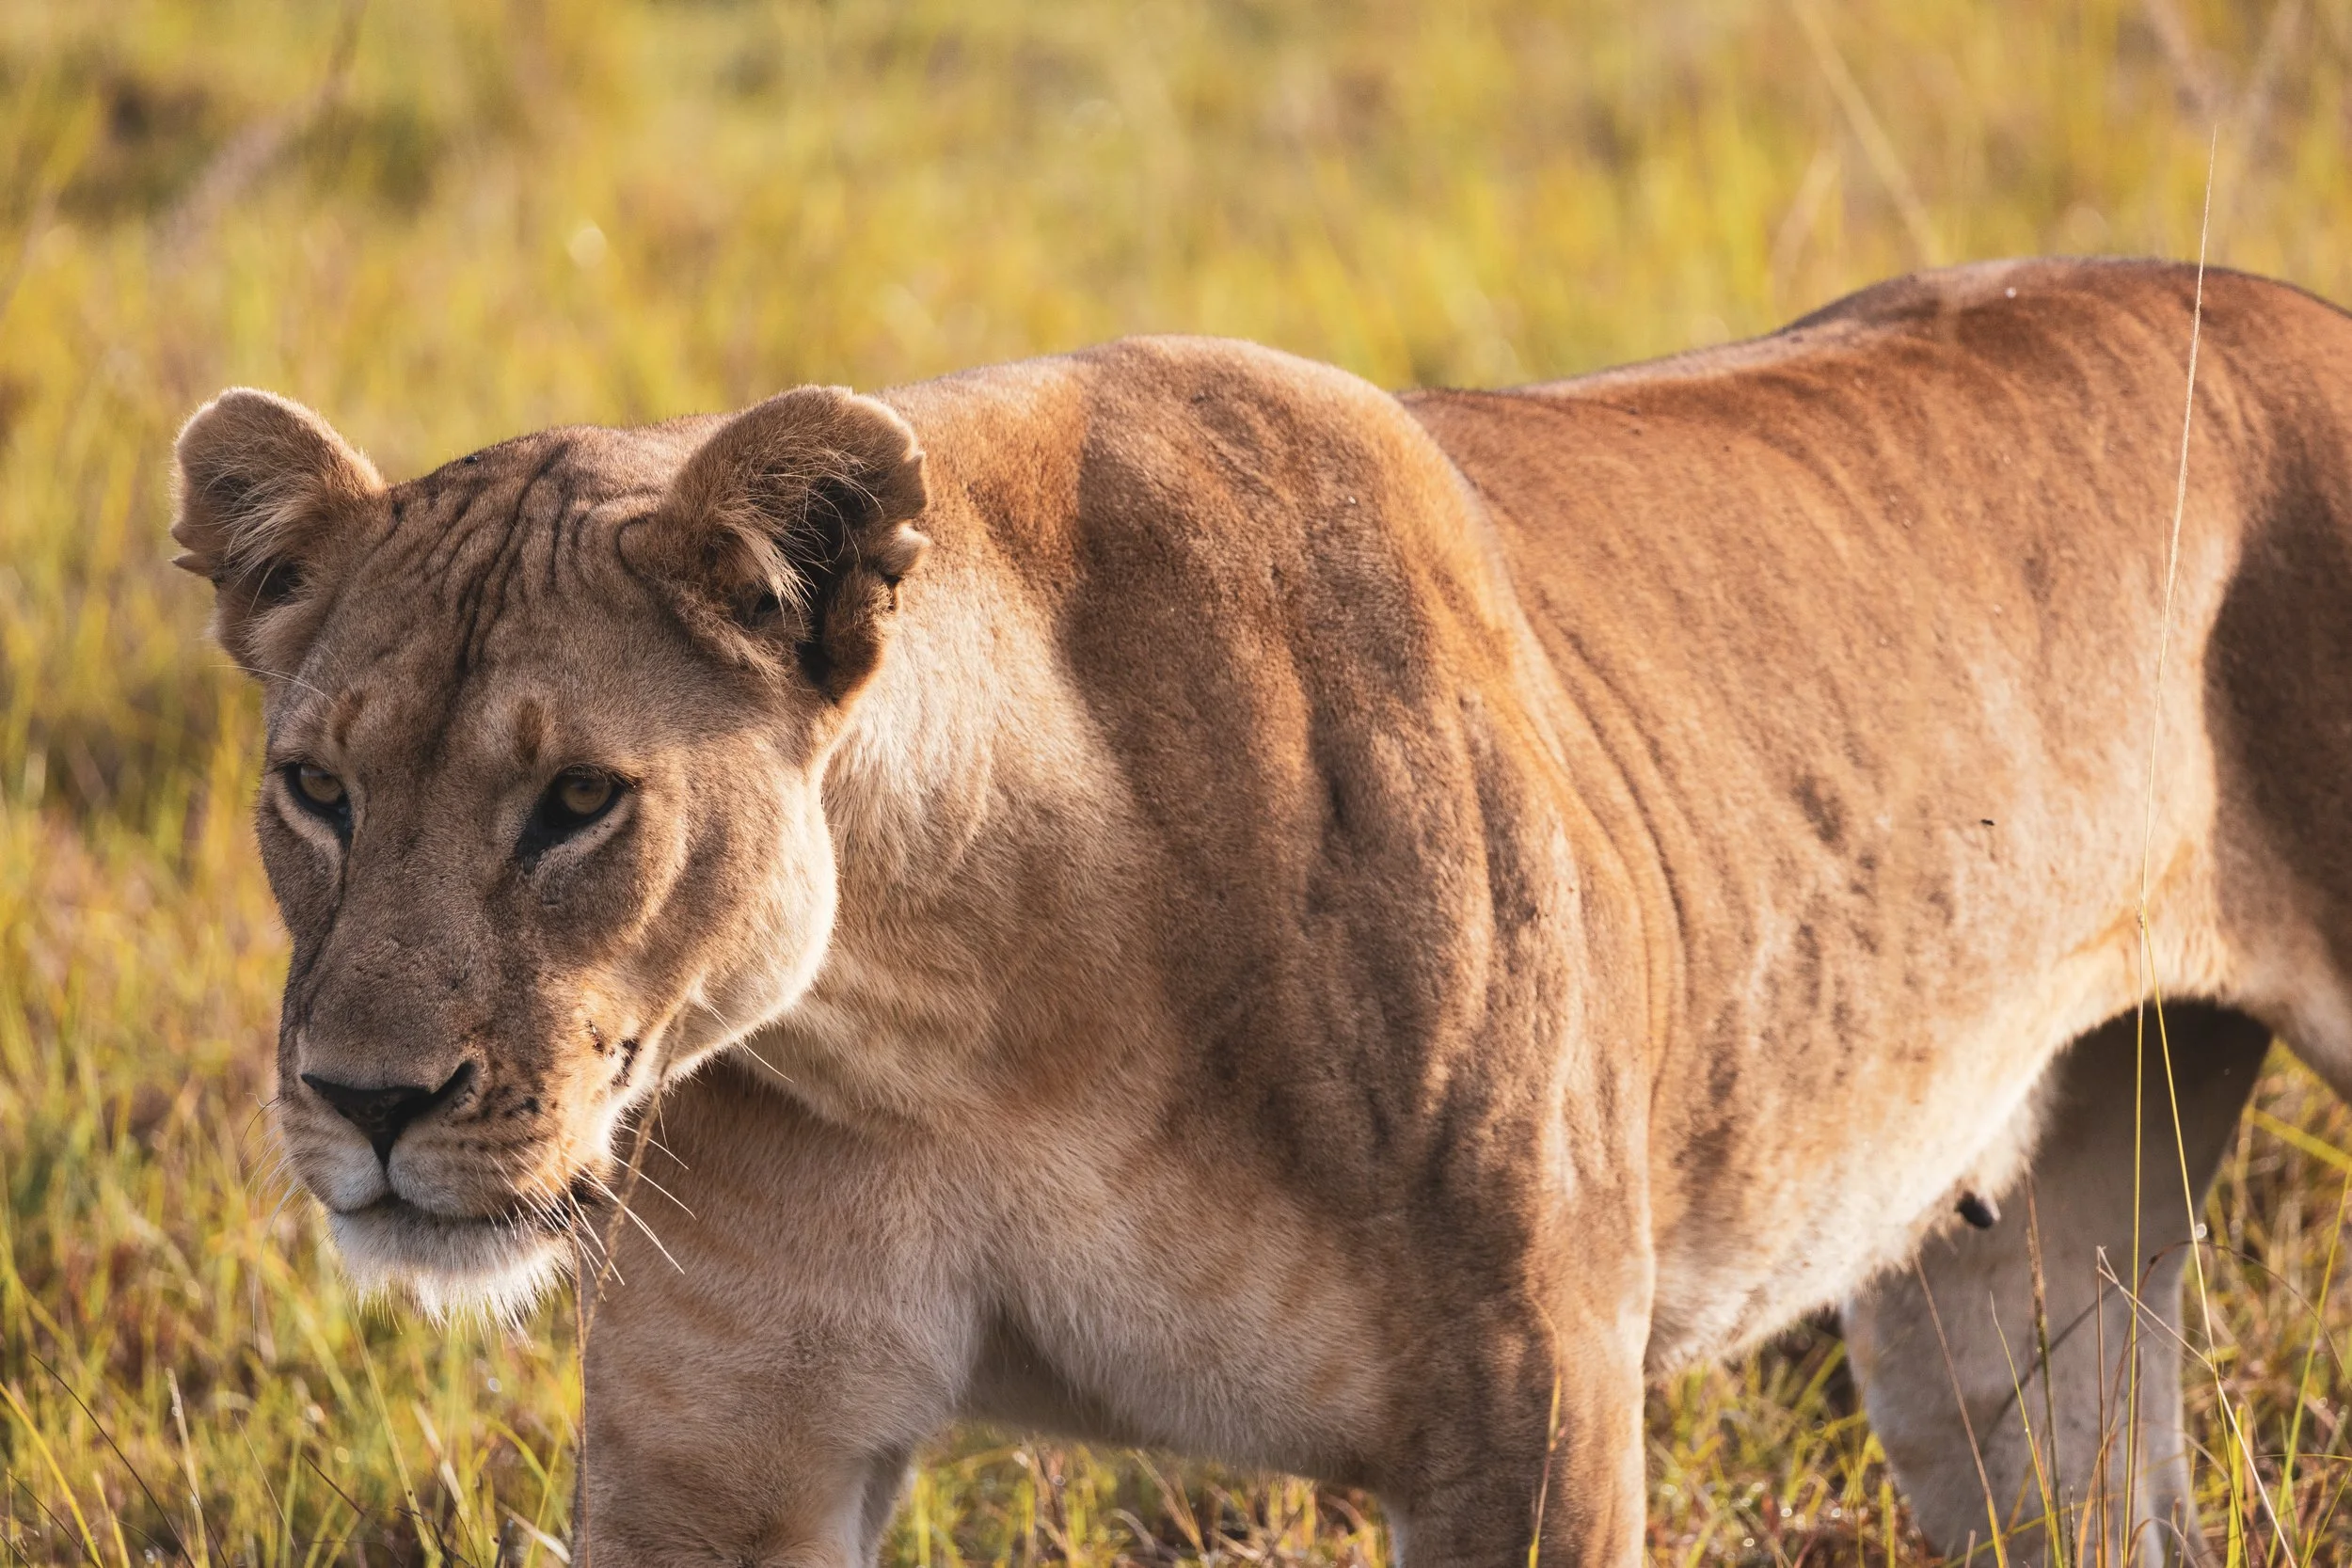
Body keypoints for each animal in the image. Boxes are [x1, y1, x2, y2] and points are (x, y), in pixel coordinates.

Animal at [173, 257, 2352, 1566]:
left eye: (577, 804)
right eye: (318, 790)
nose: (366, 1100)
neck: (960, 1018)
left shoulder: (1533, 1407)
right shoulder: (723, 1447)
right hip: (2014, 1262)